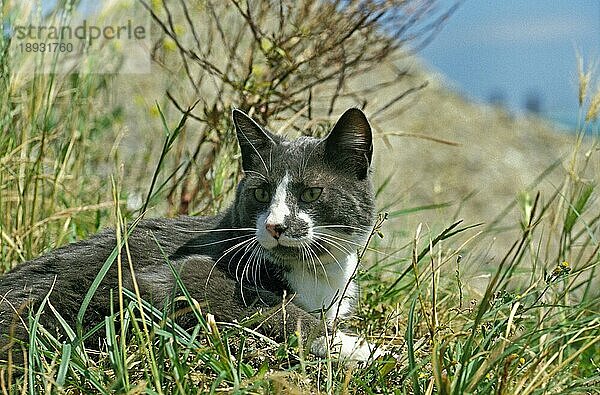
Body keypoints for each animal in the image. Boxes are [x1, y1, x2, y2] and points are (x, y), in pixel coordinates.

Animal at [0, 108, 378, 362]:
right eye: (260, 192)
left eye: (312, 193)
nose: (275, 225)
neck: (315, 274)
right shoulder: (184, 274)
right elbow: (271, 308)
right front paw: (355, 346)